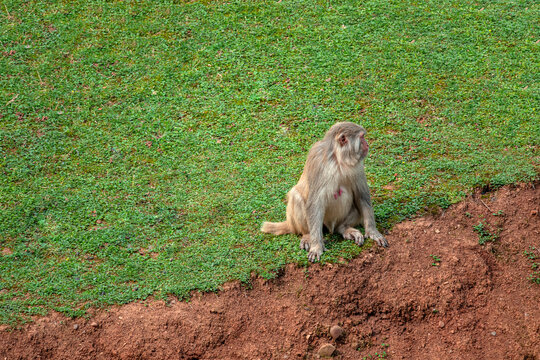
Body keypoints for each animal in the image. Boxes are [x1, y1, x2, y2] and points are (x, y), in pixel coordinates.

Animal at [262, 121, 388, 262]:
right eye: (362, 137)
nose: (367, 145)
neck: (338, 159)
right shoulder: (318, 161)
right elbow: (314, 203)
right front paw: (316, 246)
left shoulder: (357, 165)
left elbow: (362, 196)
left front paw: (372, 232)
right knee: (297, 196)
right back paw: (307, 235)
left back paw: (343, 228)